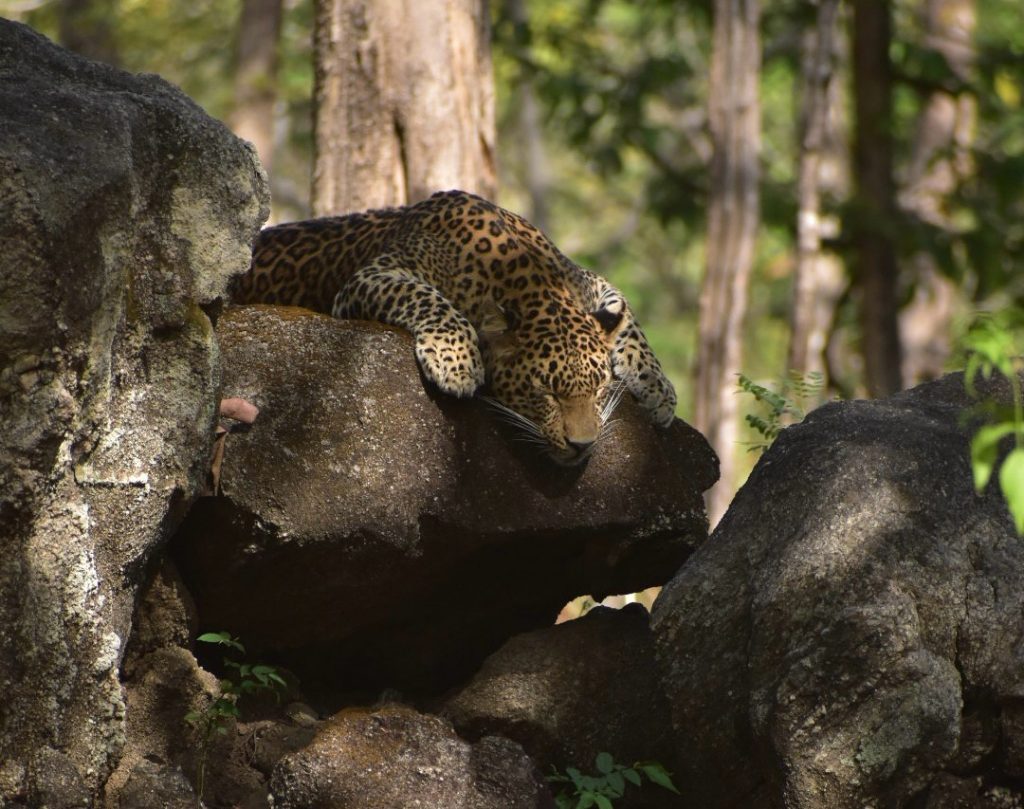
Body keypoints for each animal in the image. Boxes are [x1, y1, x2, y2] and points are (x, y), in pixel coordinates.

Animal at [233, 190, 679, 464]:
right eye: (546, 393)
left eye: (599, 388)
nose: (583, 447)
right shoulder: (371, 277)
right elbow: (425, 296)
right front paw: (458, 362)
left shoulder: (589, 281)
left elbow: (626, 313)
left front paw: (657, 388)